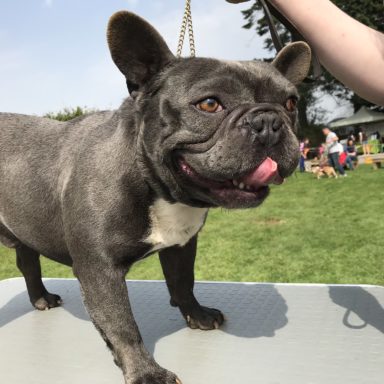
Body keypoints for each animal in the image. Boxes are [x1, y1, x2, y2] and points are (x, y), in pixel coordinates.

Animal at [0, 11, 310, 384]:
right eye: (209, 104)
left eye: (291, 103)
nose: (268, 120)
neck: (157, 185)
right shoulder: (99, 269)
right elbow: (121, 324)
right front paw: (146, 372)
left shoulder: (181, 245)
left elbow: (183, 282)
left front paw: (197, 315)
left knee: (28, 262)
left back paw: (41, 298)